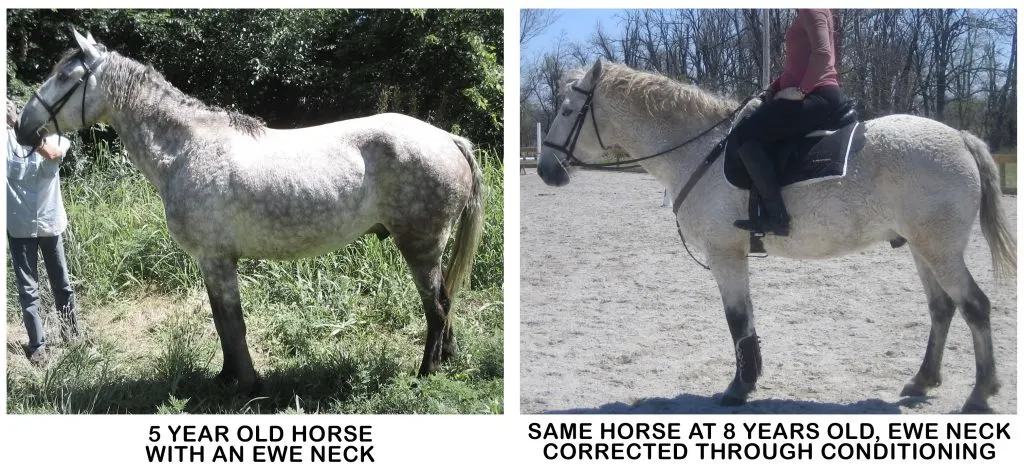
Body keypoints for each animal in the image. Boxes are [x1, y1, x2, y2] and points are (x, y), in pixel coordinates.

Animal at [14, 29, 487, 395]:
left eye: (65, 76)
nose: (22, 127)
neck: (187, 149)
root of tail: (449, 139)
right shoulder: (211, 262)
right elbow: (222, 322)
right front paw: (226, 378)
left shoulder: (216, 259)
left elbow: (232, 322)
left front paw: (246, 384)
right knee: (445, 302)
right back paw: (448, 360)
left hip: (420, 244)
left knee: (437, 307)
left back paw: (425, 374)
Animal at [536, 57, 1015, 411]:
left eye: (566, 111)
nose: (545, 171)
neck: (699, 150)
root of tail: (960, 137)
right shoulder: (733, 255)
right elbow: (745, 319)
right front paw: (748, 380)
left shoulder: (725, 254)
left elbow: (736, 319)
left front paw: (737, 388)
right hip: (923, 248)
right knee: (942, 309)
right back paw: (923, 380)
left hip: (940, 250)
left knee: (975, 306)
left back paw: (980, 393)